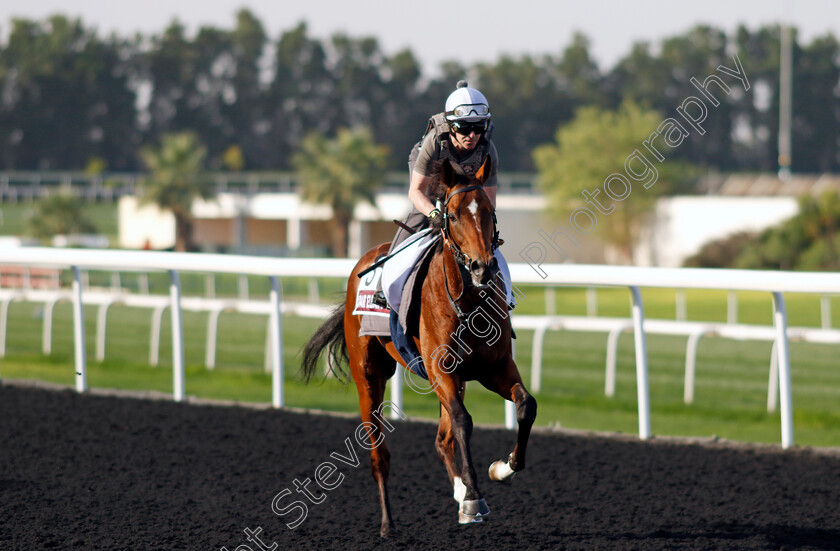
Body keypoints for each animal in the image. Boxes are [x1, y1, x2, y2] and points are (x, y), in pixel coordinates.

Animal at [302, 156, 540, 540]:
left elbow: (525, 405)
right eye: (453, 215)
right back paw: (388, 523)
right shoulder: (441, 369)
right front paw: (473, 497)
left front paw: (502, 468)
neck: (468, 301)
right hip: (369, 376)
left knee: (442, 439)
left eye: (489, 211)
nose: (482, 267)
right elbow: (463, 421)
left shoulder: (495, 367)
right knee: (379, 454)